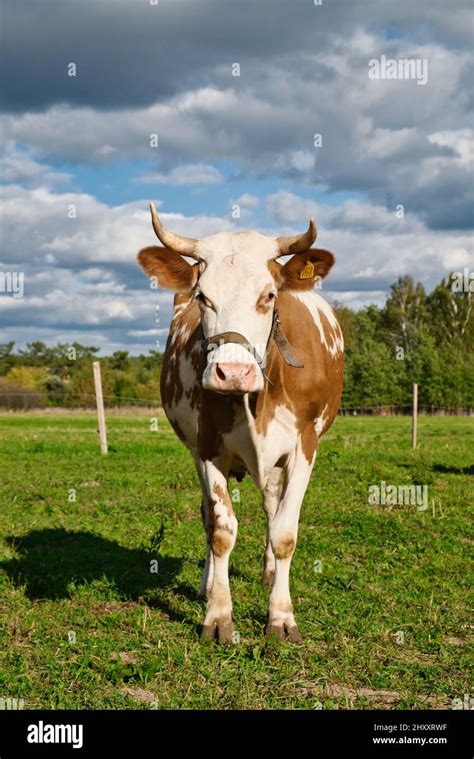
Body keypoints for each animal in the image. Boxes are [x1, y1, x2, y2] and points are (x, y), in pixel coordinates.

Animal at [137, 205, 344, 644]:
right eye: (202, 296)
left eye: (269, 295)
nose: (232, 373)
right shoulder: (207, 446)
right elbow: (220, 528)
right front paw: (218, 614)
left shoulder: (305, 445)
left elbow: (284, 532)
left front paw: (280, 616)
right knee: (208, 515)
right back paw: (206, 583)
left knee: (271, 505)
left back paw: (267, 573)